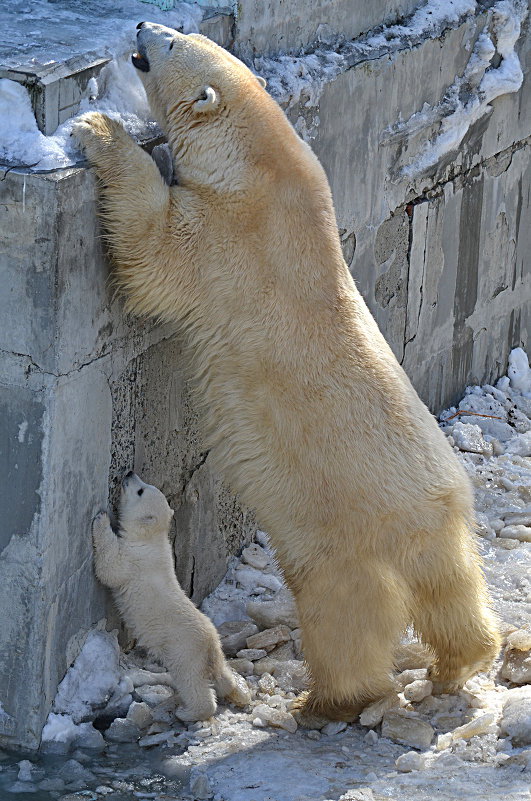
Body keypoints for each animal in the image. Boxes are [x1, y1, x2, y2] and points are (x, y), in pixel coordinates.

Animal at [72, 23, 500, 724]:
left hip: (340, 545)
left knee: (344, 622)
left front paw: (97, 128)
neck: (263, 165)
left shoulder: (226, 237)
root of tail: (426, 515)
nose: (141, 27)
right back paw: (461, 662)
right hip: (443, 526)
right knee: (454, 595)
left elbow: (155, 248)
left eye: (171, 44)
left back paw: (324, 698)